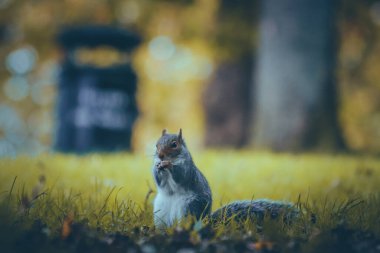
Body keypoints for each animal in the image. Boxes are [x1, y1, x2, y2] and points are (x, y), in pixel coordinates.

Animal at [151, 129, 296, 228]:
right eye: (156, 145)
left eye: (174, 144)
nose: (160, 155)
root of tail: (206, 220)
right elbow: (160, 182)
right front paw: (157, 167)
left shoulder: (188, 170)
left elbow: (180, 176)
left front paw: (168, 165)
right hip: (160, 211)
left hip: (189, 208)